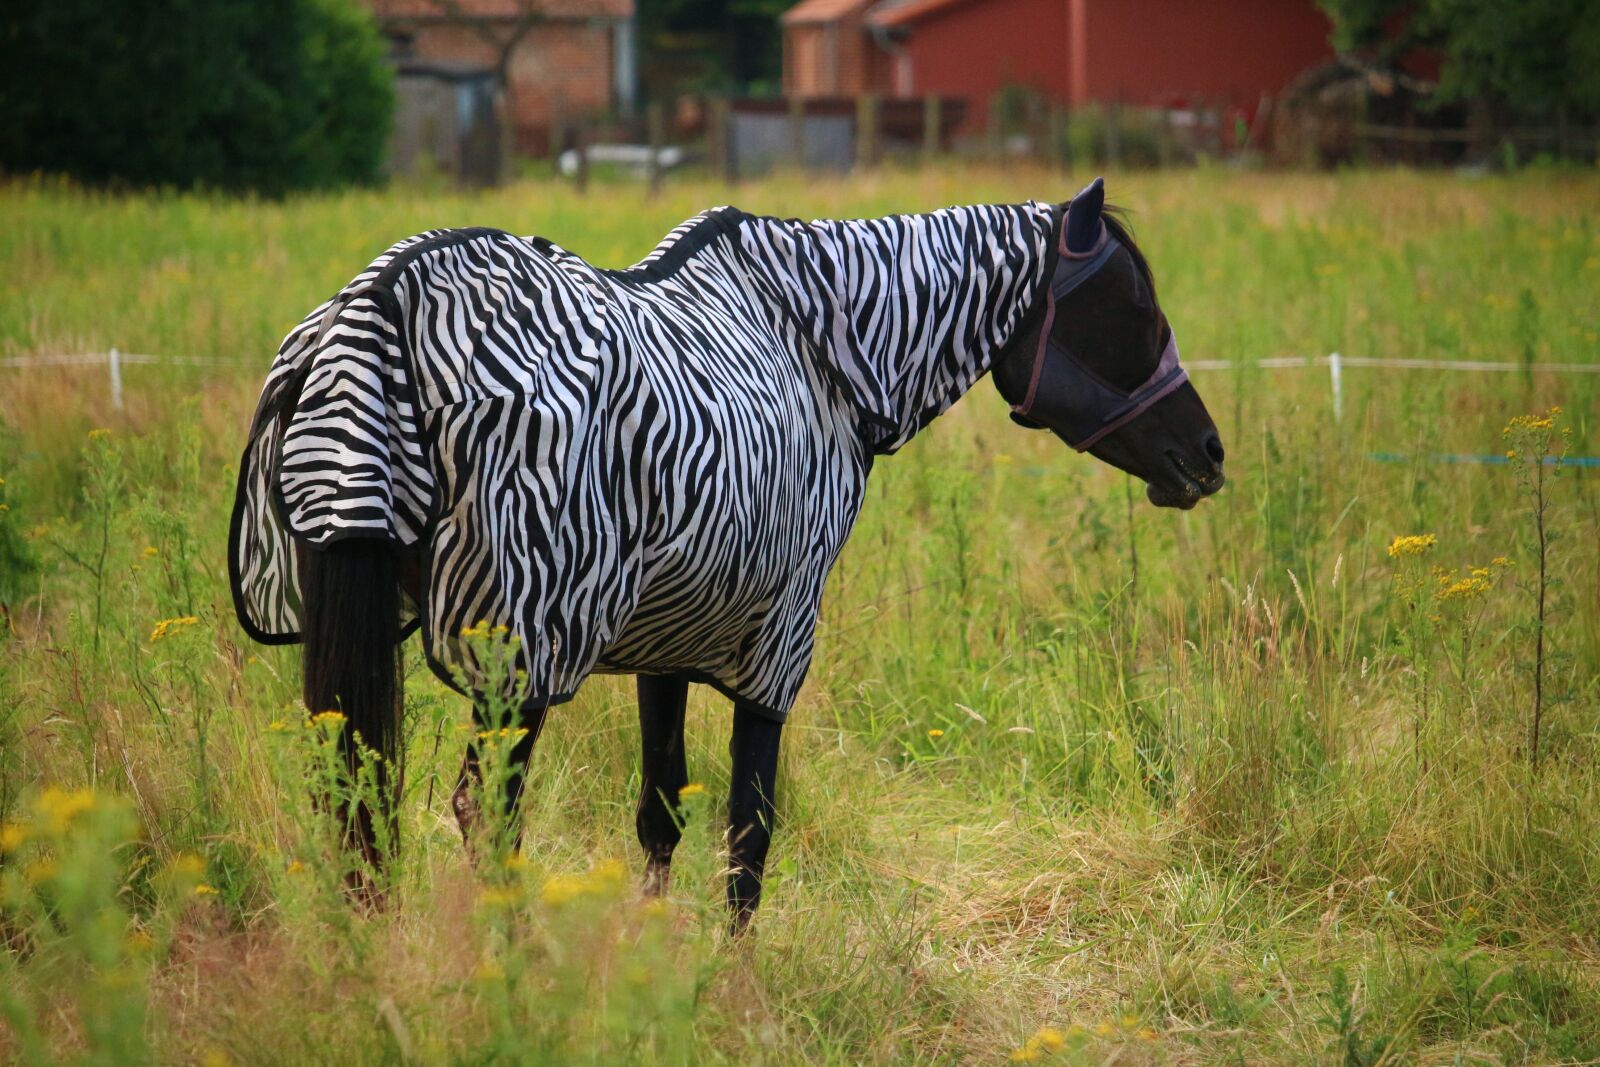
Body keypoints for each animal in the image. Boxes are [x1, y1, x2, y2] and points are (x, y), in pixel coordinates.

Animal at [229, 177, 1225, 927]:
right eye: (1133, 308)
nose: (1209, 456)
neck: (823, 351)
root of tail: (378, 308)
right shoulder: (775, 642)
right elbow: (749, 835)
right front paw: (733, 986)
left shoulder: (667, 636)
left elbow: (662, 809)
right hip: (522, 657)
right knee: (488, 813)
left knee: (360, 795)